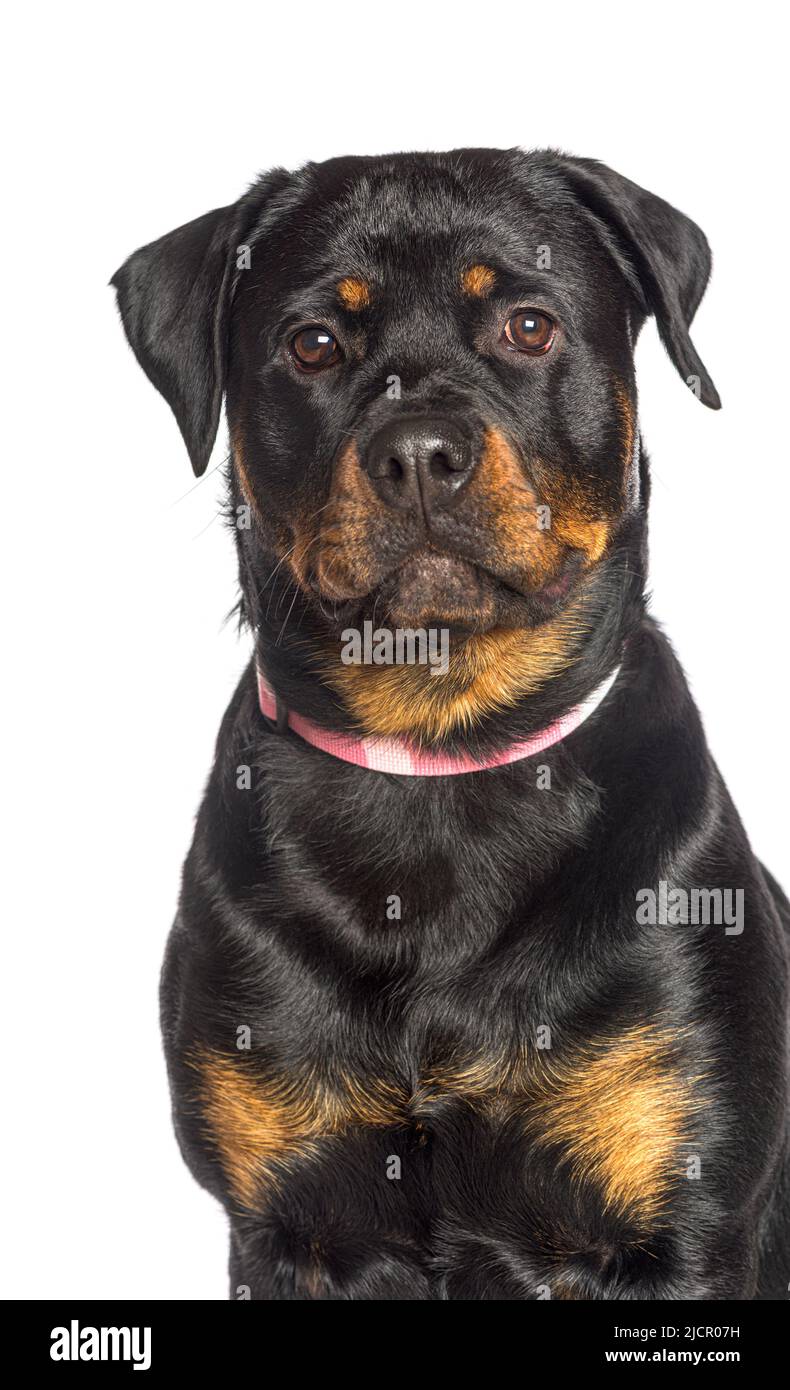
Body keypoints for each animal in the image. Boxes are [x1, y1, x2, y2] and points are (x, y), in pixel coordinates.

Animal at [112, 146, 790, 1295]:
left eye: (529, 324)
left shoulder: (682, 1215)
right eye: (313, 343)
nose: (421, 450)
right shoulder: (283, 1225)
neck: (441, 760)